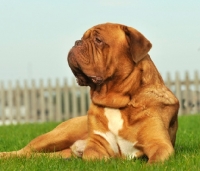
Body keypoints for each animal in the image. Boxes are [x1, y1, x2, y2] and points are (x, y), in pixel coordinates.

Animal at [0, 22, 178, 163]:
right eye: (82, 38)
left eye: (98, 40)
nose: (77, 42)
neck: (117, 102)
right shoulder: (96, 145)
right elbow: (93, 156)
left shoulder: (160, 144)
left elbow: (153, 161)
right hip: (56, 136)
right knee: (24, 151)